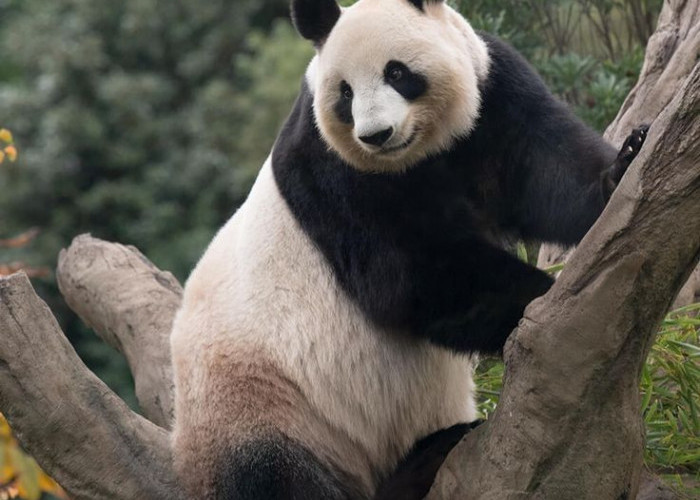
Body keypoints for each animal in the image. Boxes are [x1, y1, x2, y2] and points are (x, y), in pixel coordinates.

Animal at [170, 0, 648, 498]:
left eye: (396, 72)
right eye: (344, 93)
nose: (376, 135)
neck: (418, 153)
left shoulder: (493, 91)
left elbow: (546, 168)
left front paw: (624, 163)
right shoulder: (331, 171)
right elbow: (411, 276)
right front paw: (538, 298)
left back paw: (434, 451)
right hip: (259, 403)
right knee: (275, 475)